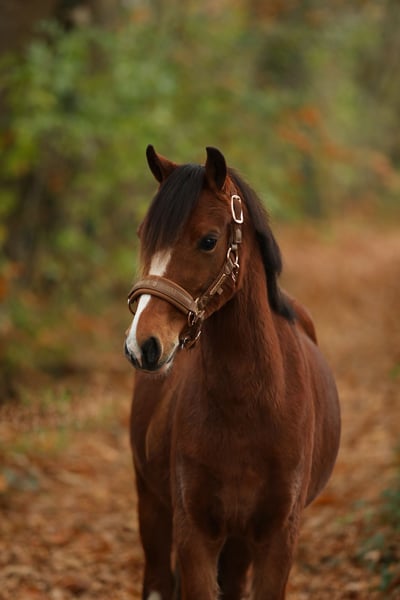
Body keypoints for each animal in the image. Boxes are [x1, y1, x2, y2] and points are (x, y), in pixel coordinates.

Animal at [124, 145, 340, 600]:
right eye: (142, 234)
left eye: (208, 240)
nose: (142, 344)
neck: (250, 406)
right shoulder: (194, 534)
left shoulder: (277, 538)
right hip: (152, 506)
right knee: (156, 578)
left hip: (239, 543)